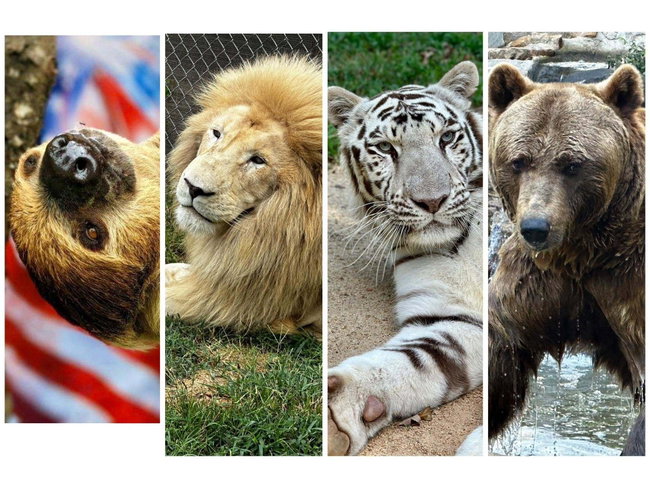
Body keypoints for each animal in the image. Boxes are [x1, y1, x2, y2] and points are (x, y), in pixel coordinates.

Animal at [327, 61, 484, 456]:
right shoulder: (449, 312)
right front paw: (337, 415)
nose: (432, 200)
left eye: (447, 138)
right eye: (385, 148)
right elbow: (416, 358)